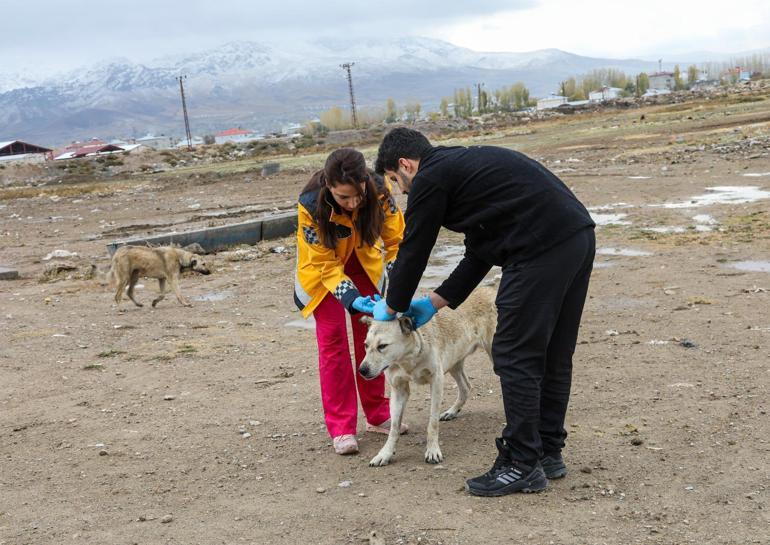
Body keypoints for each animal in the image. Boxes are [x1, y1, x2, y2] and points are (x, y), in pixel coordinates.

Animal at [356, 286, 496, 466]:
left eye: (382, 346)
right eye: (366, 345)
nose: (362, 370)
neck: (407, 359)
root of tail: (488, 289)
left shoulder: (436, 382)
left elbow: (432, 423)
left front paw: (433, 450)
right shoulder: (399, 390)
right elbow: (394, 428)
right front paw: (385, 453)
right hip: (454, 362)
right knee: (466, 387)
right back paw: (452, 411)